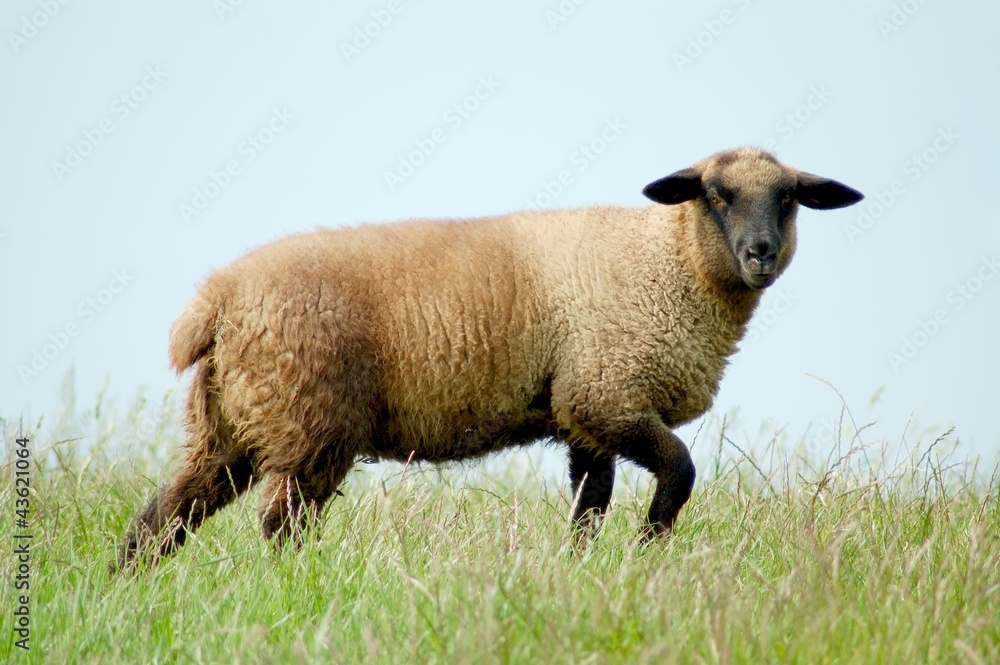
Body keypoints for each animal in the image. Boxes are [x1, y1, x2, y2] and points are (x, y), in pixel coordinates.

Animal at [115, 146, 862, 570]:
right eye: (714, 194)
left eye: (789, 198)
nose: (760, 253)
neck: (668, 262)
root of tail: (217, 300)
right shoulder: (606, 394)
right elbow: (679, 470)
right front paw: (647, 551)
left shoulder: (581, 414)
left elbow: (589, 505)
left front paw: (578, 573)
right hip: (310, 422)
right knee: (280, 525)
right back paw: (295, 587)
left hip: (231, 424)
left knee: (164, 517)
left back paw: (126, 586)